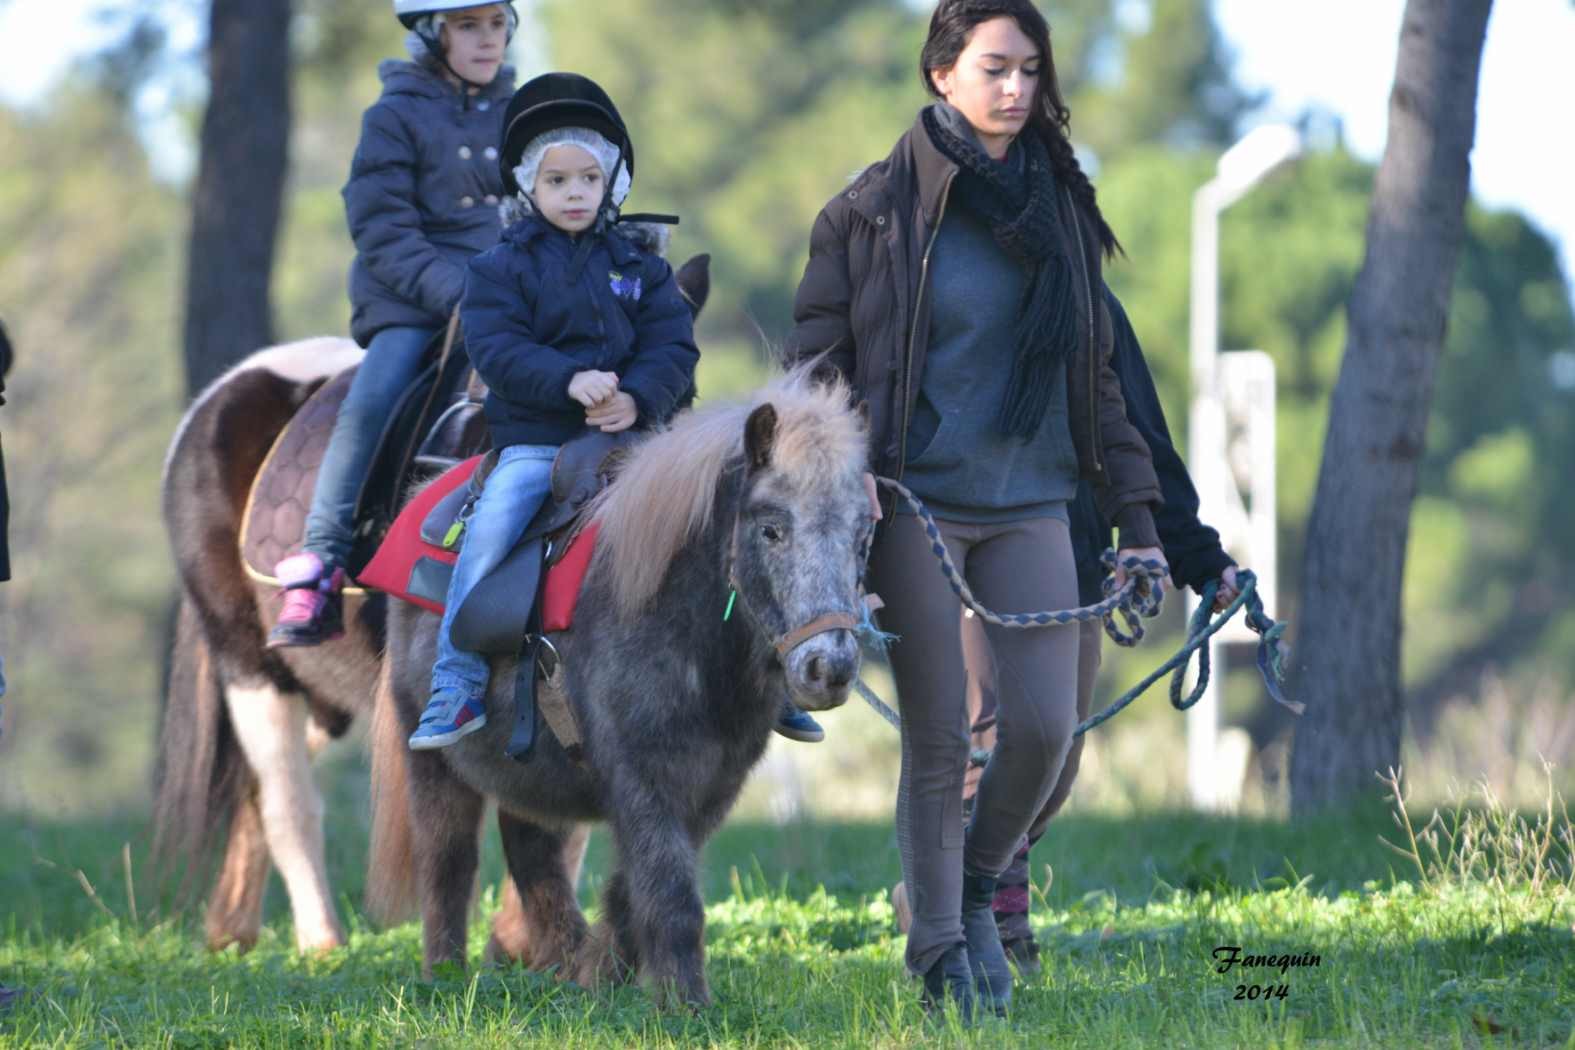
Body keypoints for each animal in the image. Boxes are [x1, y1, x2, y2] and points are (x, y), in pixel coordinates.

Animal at [151, 256, 708, 963]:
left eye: (685, 394)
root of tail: (215, 401)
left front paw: (520, 943)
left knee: (256, 786)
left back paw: (233, 929)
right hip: (250, 665)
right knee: (286, 799)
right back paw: (320, 942)